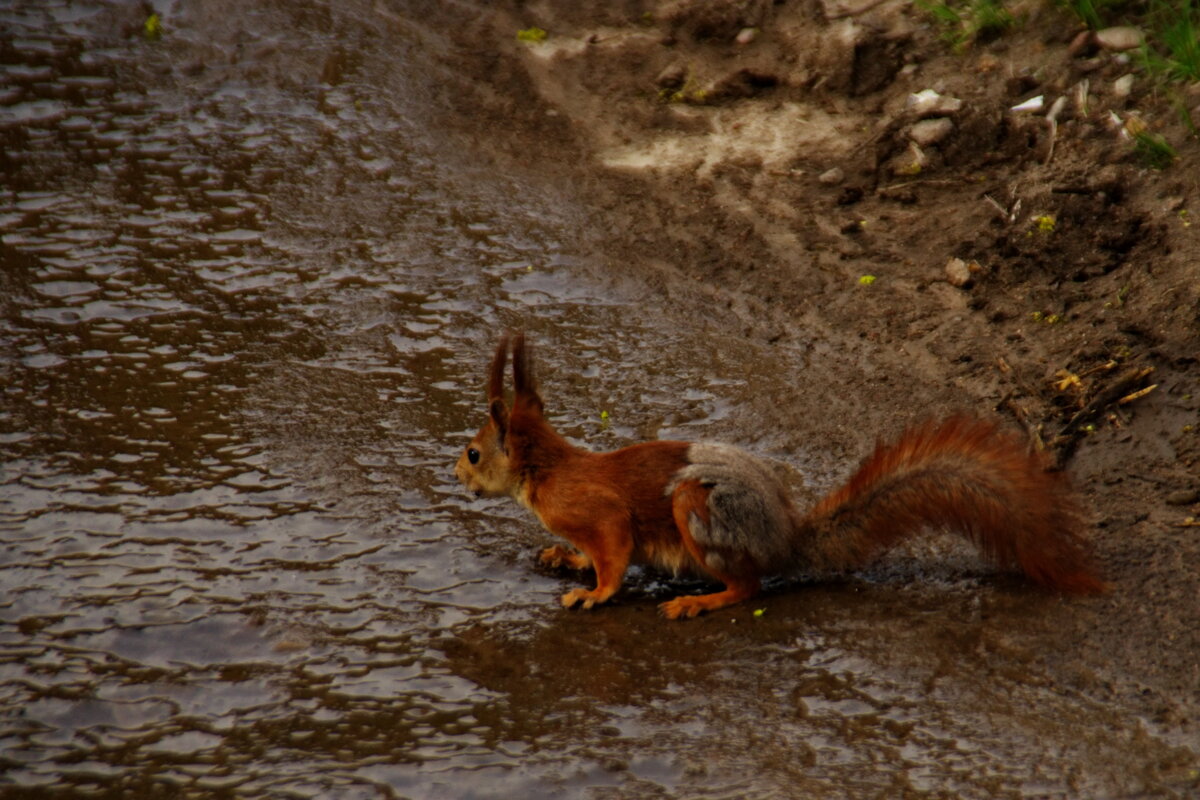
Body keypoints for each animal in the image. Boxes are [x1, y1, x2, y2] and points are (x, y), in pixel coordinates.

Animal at [451, 331, 1104, 618]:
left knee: (749, 587)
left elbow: (612, 558)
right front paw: (564, 558)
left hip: (699, 511)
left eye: (475, 452)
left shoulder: (600, 514)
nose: (457, 474)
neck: (548, 469)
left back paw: (700, 602)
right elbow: (588, 553)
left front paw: (592, 592)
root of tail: (785, 541)